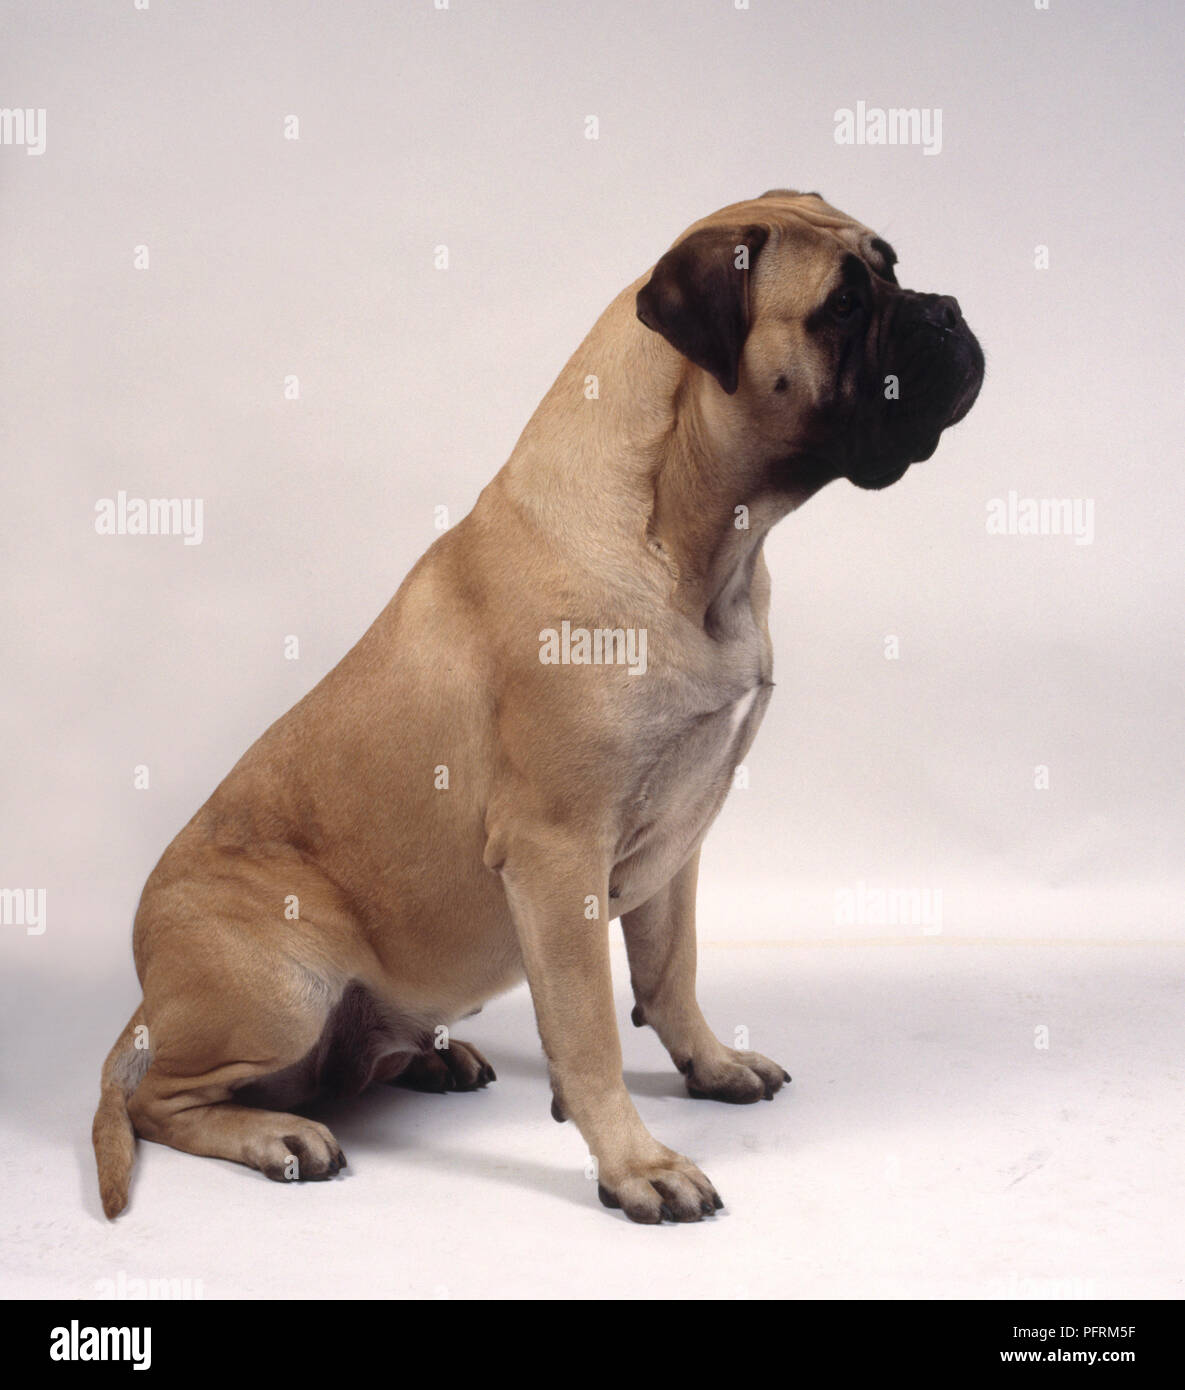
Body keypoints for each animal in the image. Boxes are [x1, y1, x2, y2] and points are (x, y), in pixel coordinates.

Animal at [90, 190, 978, 1223]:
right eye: (842, 304)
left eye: (891, 264)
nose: (947, 311)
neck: (695, 541)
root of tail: (146, 1003)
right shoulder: (558, 855)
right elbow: (590, 1028)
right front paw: (636, 1164)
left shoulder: (677, 842)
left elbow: (670, 971)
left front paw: (711, 1065)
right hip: (281, 985)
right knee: (162, 1102)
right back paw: (276, 1135)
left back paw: (427, 1059)